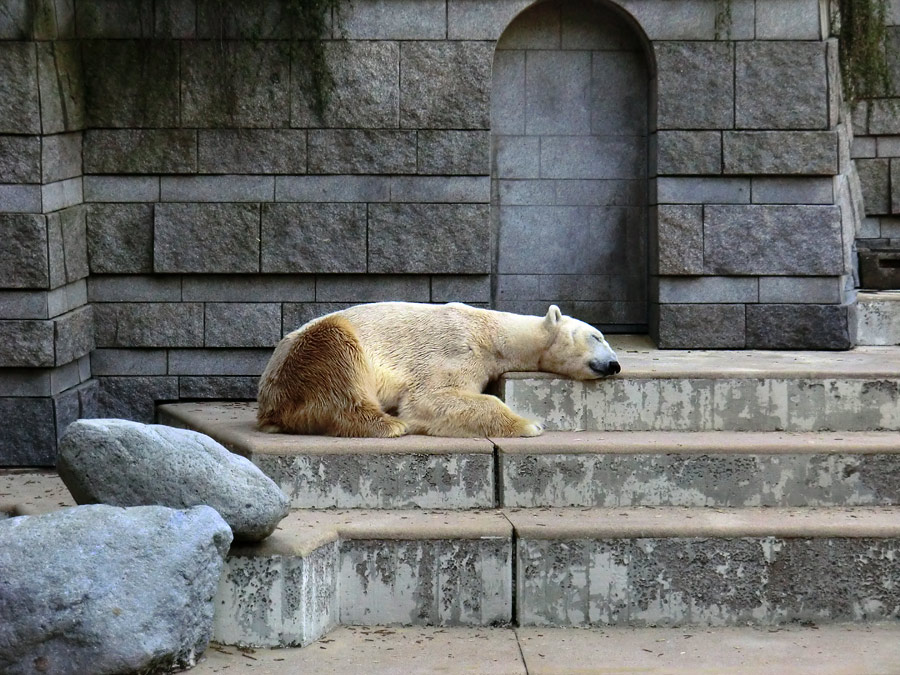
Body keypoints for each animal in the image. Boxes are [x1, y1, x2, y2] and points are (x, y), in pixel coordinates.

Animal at [253, 304, 620, 440]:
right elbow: (429, 399)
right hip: (307, 358)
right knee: (340, 360)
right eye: (596, 336)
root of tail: (267, 405)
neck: (494, 334)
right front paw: (529, 423)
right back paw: (390, 425)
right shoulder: (455, 349)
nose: (615, 364)